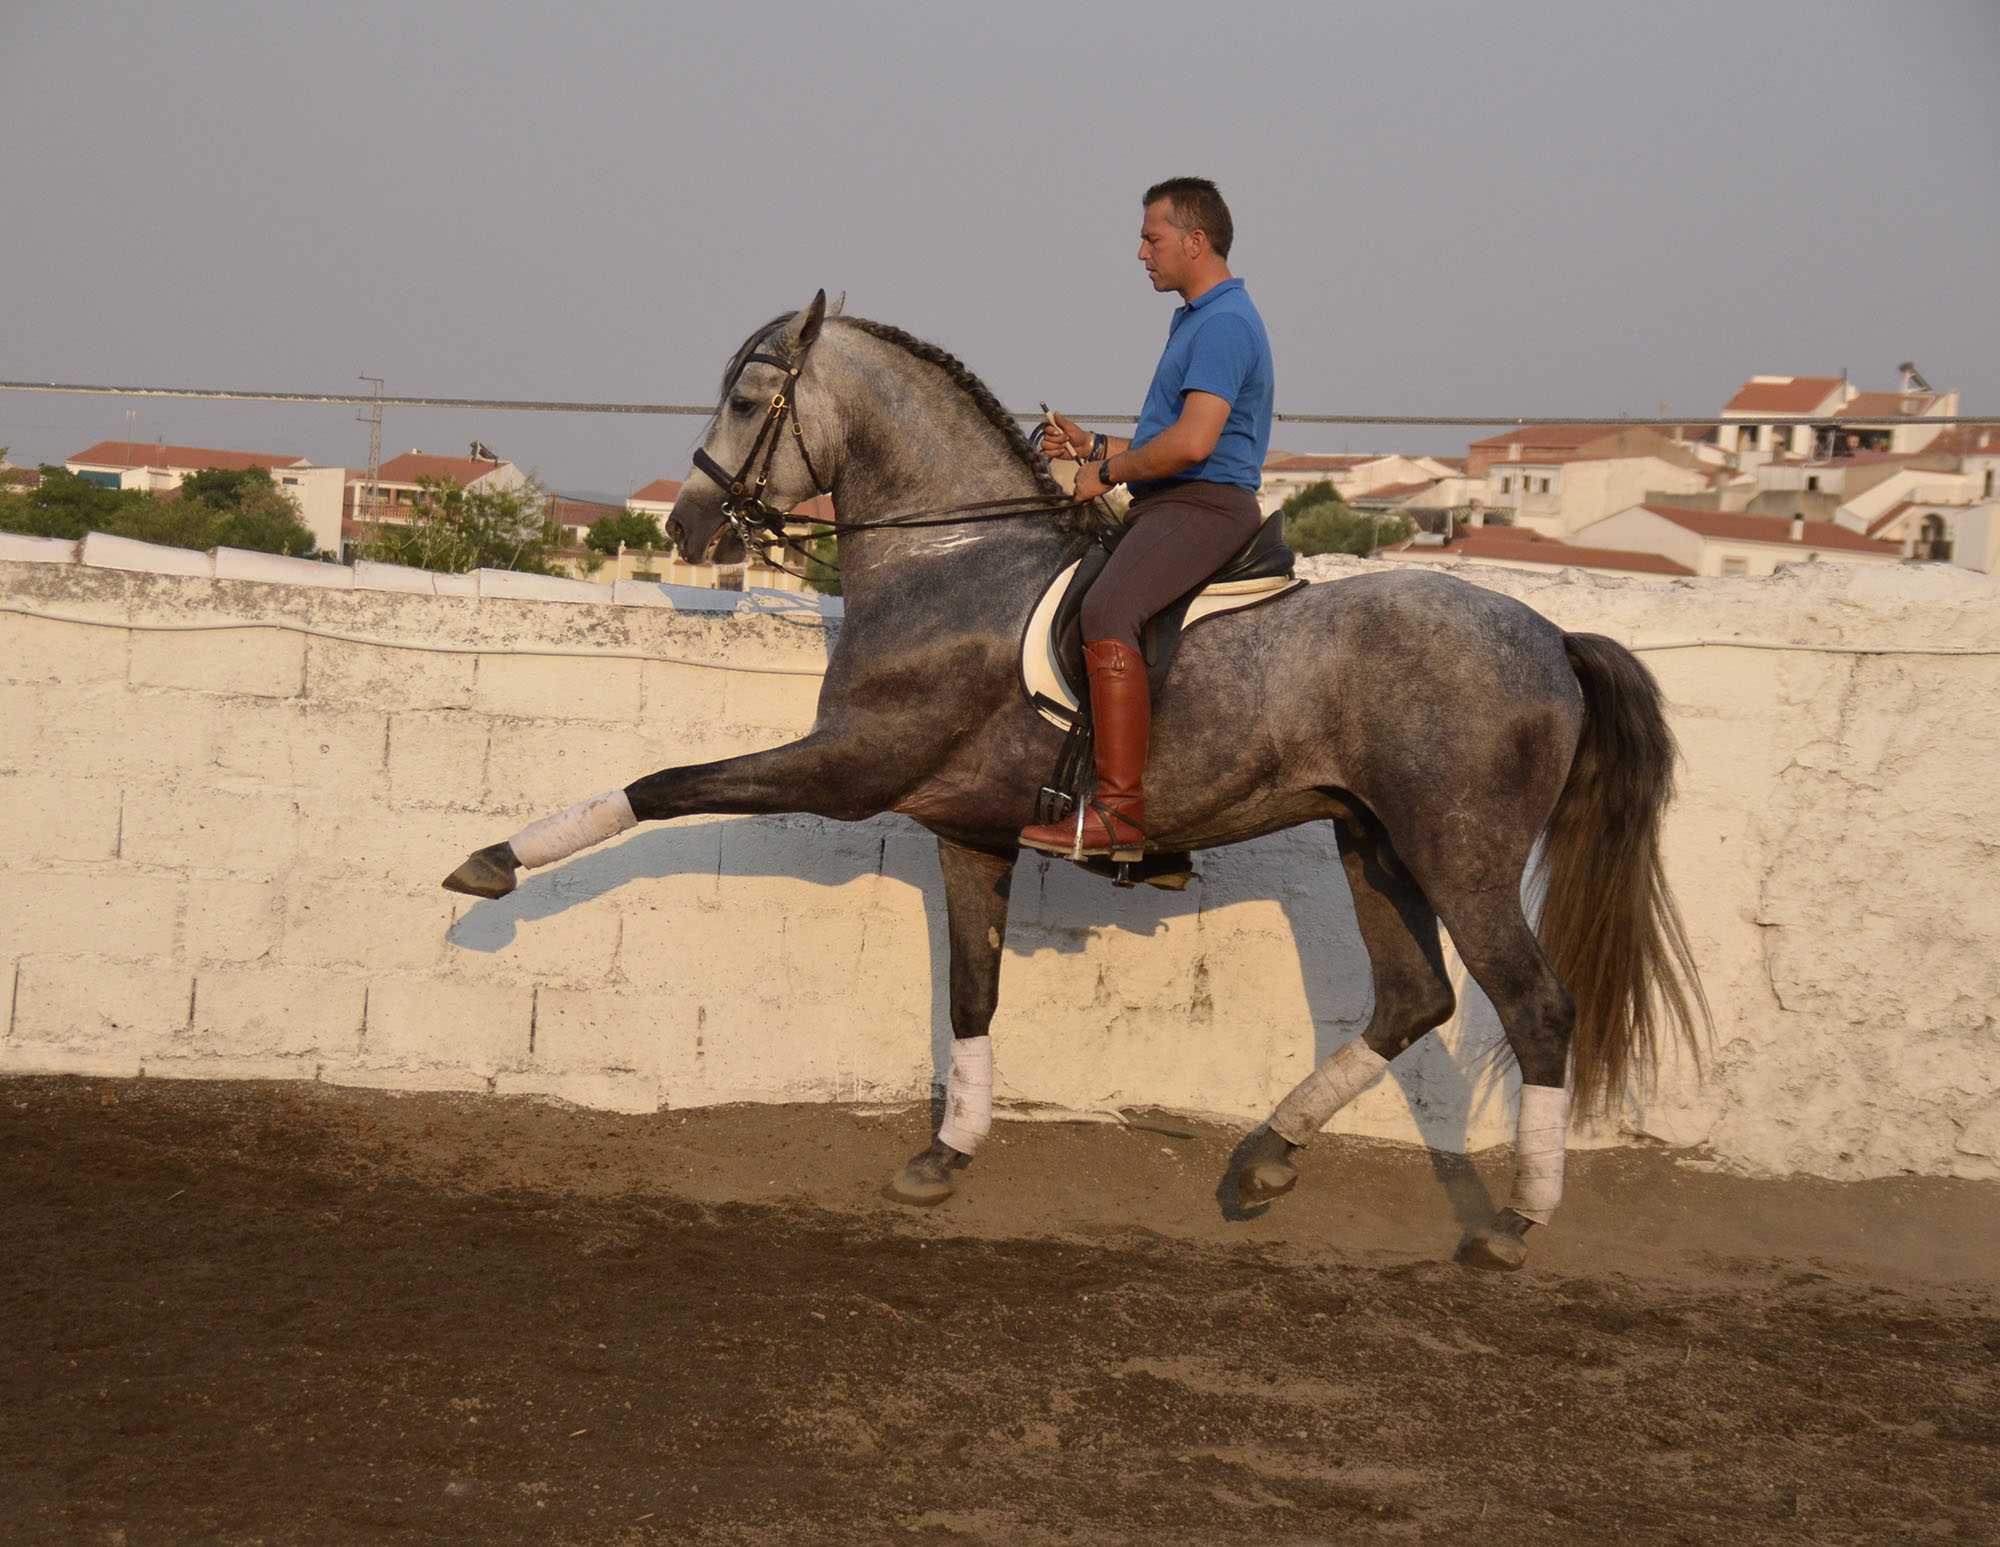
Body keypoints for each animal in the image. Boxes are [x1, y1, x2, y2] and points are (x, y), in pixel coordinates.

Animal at [442, 291, 1704, 1271]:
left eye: (751, 402)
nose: (693, 524)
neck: (952, 557)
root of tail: (1549, 637)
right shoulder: (968, 829)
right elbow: (971, 993)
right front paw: (945, 1150)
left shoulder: (848, 766)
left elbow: (664, 783)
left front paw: (492, 861)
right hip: (1373, 840)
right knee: (1413, 998)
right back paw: (1265, 1156)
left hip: (1460, 850)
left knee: (1534, 1009)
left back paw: (1510, 1224)